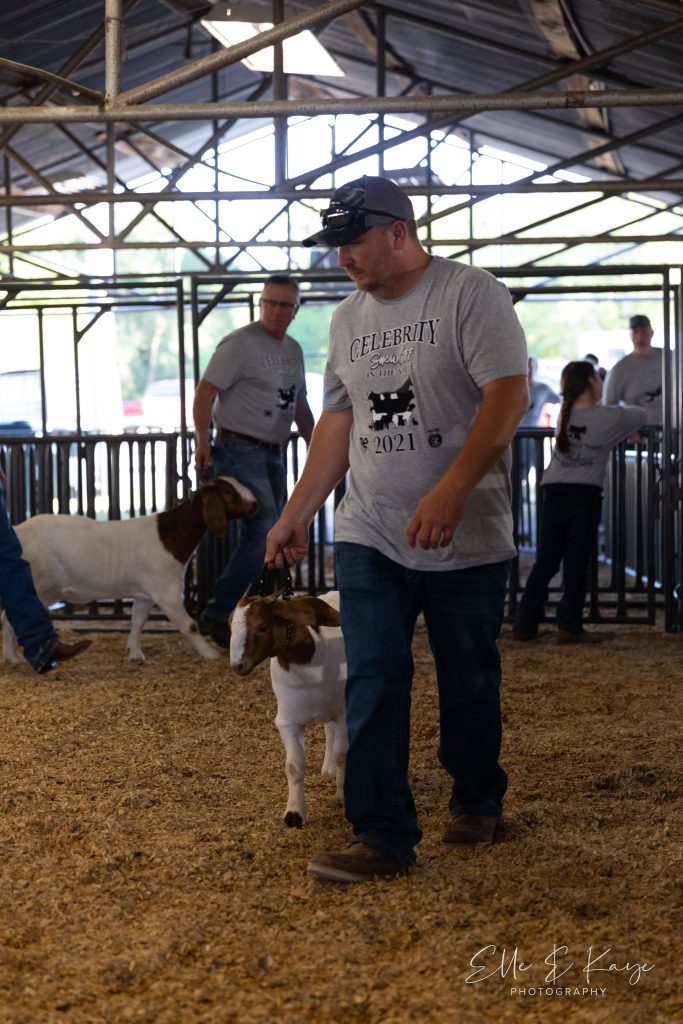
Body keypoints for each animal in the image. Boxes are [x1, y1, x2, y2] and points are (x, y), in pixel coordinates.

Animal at [2, 477, 257, 664]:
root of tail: (18, 529)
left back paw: (13, 657)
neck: (171, 535)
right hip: (36, 585)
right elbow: (190, 625)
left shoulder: (145, 593)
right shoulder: (166, 590)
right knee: (9, 617)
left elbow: (138, 621)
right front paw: (210, 654)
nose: (255, 504)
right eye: (228, 492)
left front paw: (134, 653)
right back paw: (15, 657)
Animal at [229, 590, 347, 828]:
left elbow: (342, 753)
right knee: (328, 728)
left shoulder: (343, 712)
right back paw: (328, 768)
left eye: (263, 627)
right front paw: (294, 813)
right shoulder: (288, 721)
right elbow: (294, 766)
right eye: (230, 625)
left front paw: (342, 796)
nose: (237, 665)